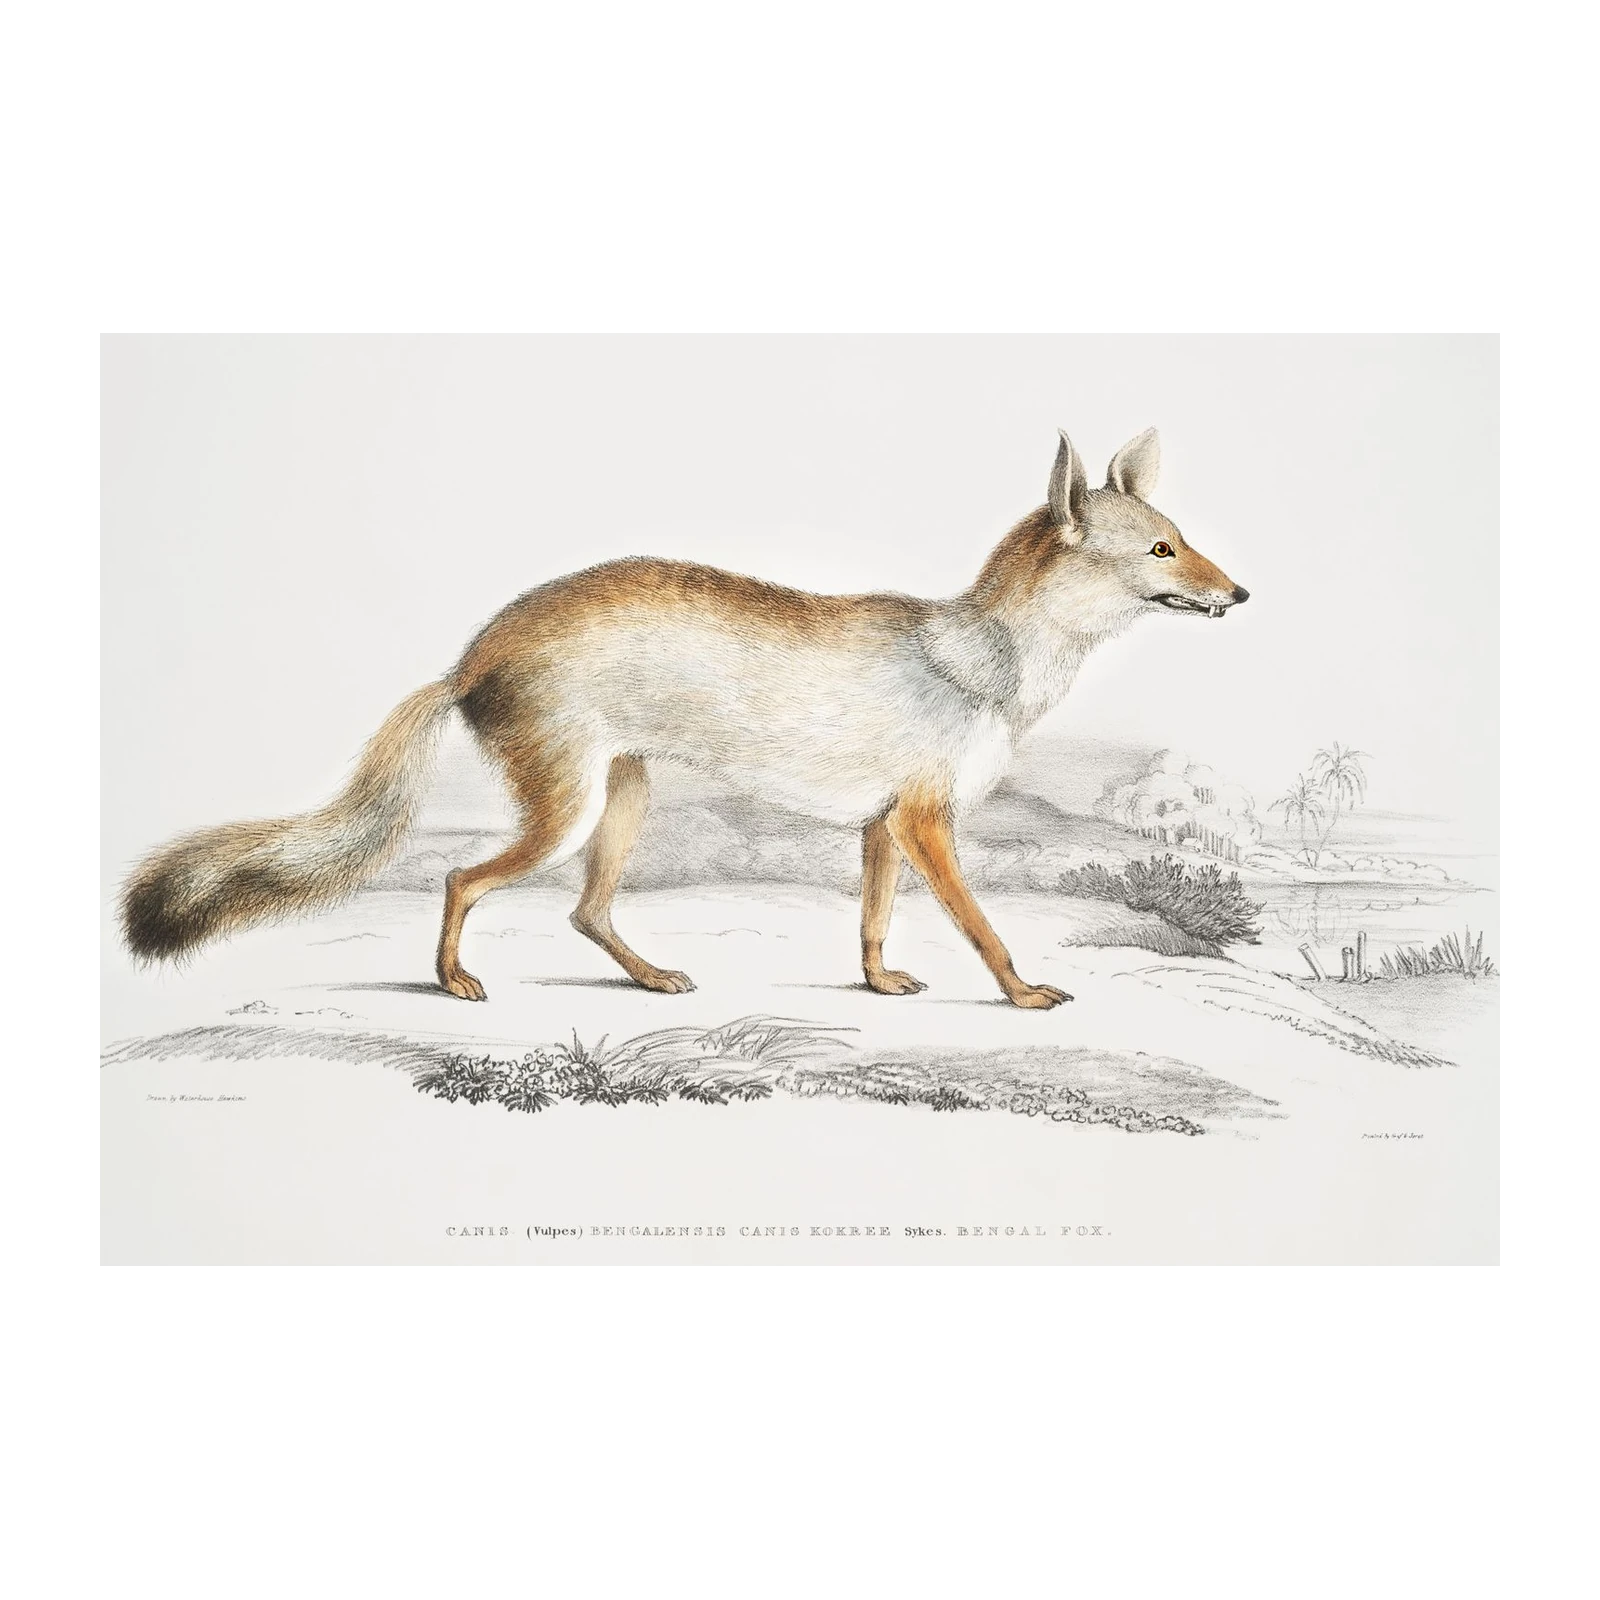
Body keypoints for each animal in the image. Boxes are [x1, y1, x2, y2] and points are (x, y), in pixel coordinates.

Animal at [121, 428, 1248, 1009]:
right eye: (1161, 550)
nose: (1240, 593)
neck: (980, 659)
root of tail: (468, 658)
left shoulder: (885, 825)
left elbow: (874, 922)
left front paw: (880, 984)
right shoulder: (929, 823)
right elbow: (984, 928)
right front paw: (1021, 994)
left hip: (622, 798)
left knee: (585, 910)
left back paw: (652, 976)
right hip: (568, 812)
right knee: (460, 878)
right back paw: (454, 981)